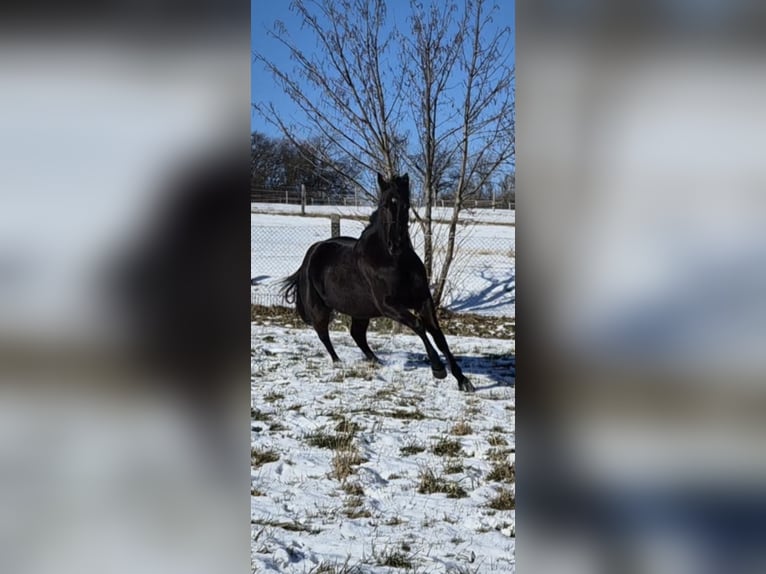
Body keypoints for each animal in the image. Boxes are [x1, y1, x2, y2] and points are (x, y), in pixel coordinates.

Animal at [281, 172, 474, 392]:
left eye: (406, 205)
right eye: (384, 205)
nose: (395, 244)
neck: (393, 261)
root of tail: (312, 253)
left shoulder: (423, 300)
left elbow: (438, 336)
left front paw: (463, 380)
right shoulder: (388, 306)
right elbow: (419, 326)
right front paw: (438, 370)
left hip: (360, 310)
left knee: (357, 334)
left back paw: (376, 360)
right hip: (320, 309)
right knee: (323, 334)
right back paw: (338, 361)